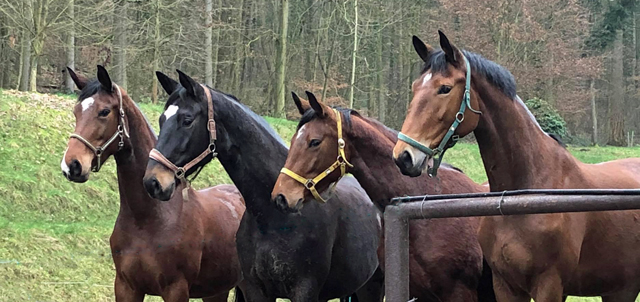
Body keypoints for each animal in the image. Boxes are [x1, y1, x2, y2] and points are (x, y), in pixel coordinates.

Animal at [60, 66, 246, 302]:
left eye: (104, 112)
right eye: (76, 112)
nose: (71, 165)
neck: (147, 218)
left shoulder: (176, 290)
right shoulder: (126, 288)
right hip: (216, 291)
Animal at [144, 70, 384, 302]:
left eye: (187, 120)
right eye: (162, 119)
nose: (152, 182)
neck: (274, 216)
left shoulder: (304, 291)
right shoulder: (256, 290)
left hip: (373, 286)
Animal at [392, 31, 640, 302]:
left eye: (444, 88)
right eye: (415, 87)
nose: (403, 156)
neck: (524, 194)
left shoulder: (549, 286)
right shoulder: (505, 286)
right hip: (621, 289)